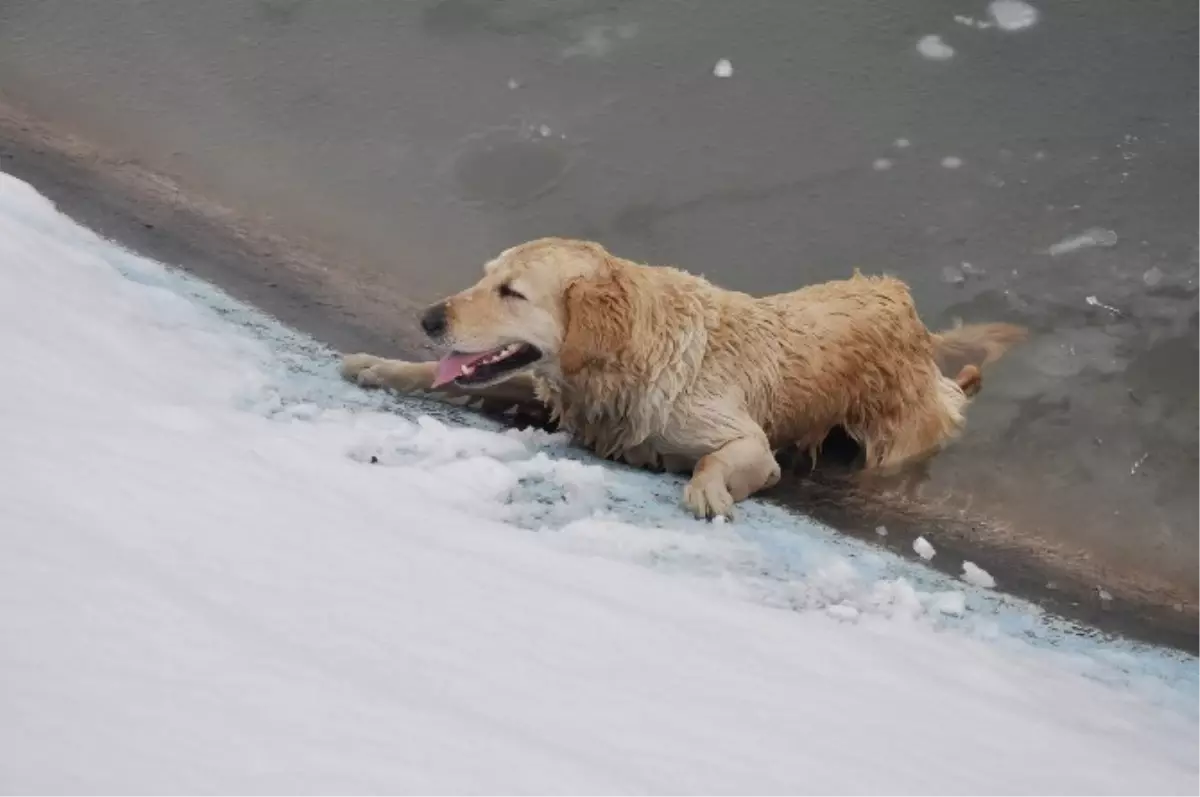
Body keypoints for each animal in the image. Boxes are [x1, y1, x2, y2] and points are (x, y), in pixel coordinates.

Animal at [343, 237, 1027, 516]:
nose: (428, 317)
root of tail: (904, 305)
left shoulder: (745, 439)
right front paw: (386, 364)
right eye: (484, 278)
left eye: (511, 292)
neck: (626, 353)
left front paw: (707, 489)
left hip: (895, 437)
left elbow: (717, 459)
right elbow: (449, 375)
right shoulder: (554, 388)